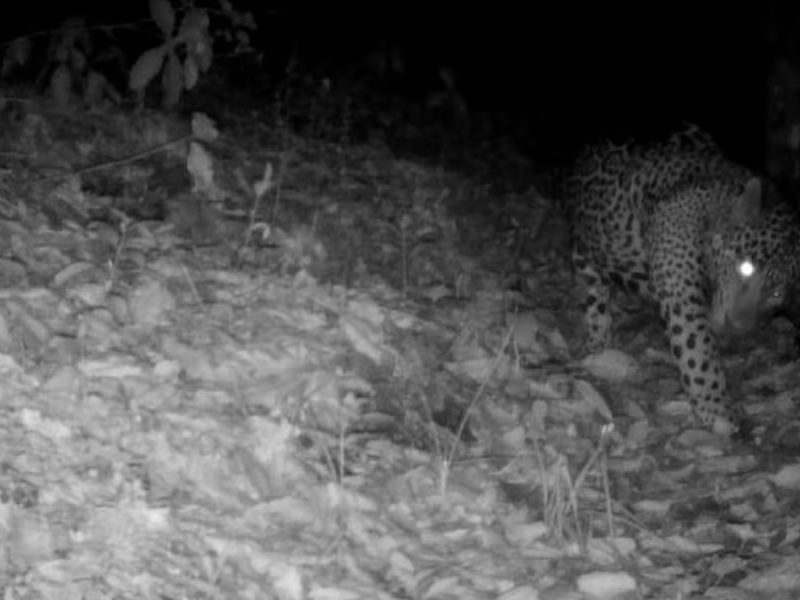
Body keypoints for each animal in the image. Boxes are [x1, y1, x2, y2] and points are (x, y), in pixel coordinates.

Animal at [563, 125, 800, 435]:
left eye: (776, 294)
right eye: (746, 267)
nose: (739, 328)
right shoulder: (682, 296)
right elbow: (698, 351)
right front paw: (718, 409)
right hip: (584, 250)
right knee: (594, 289)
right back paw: (597, 338)